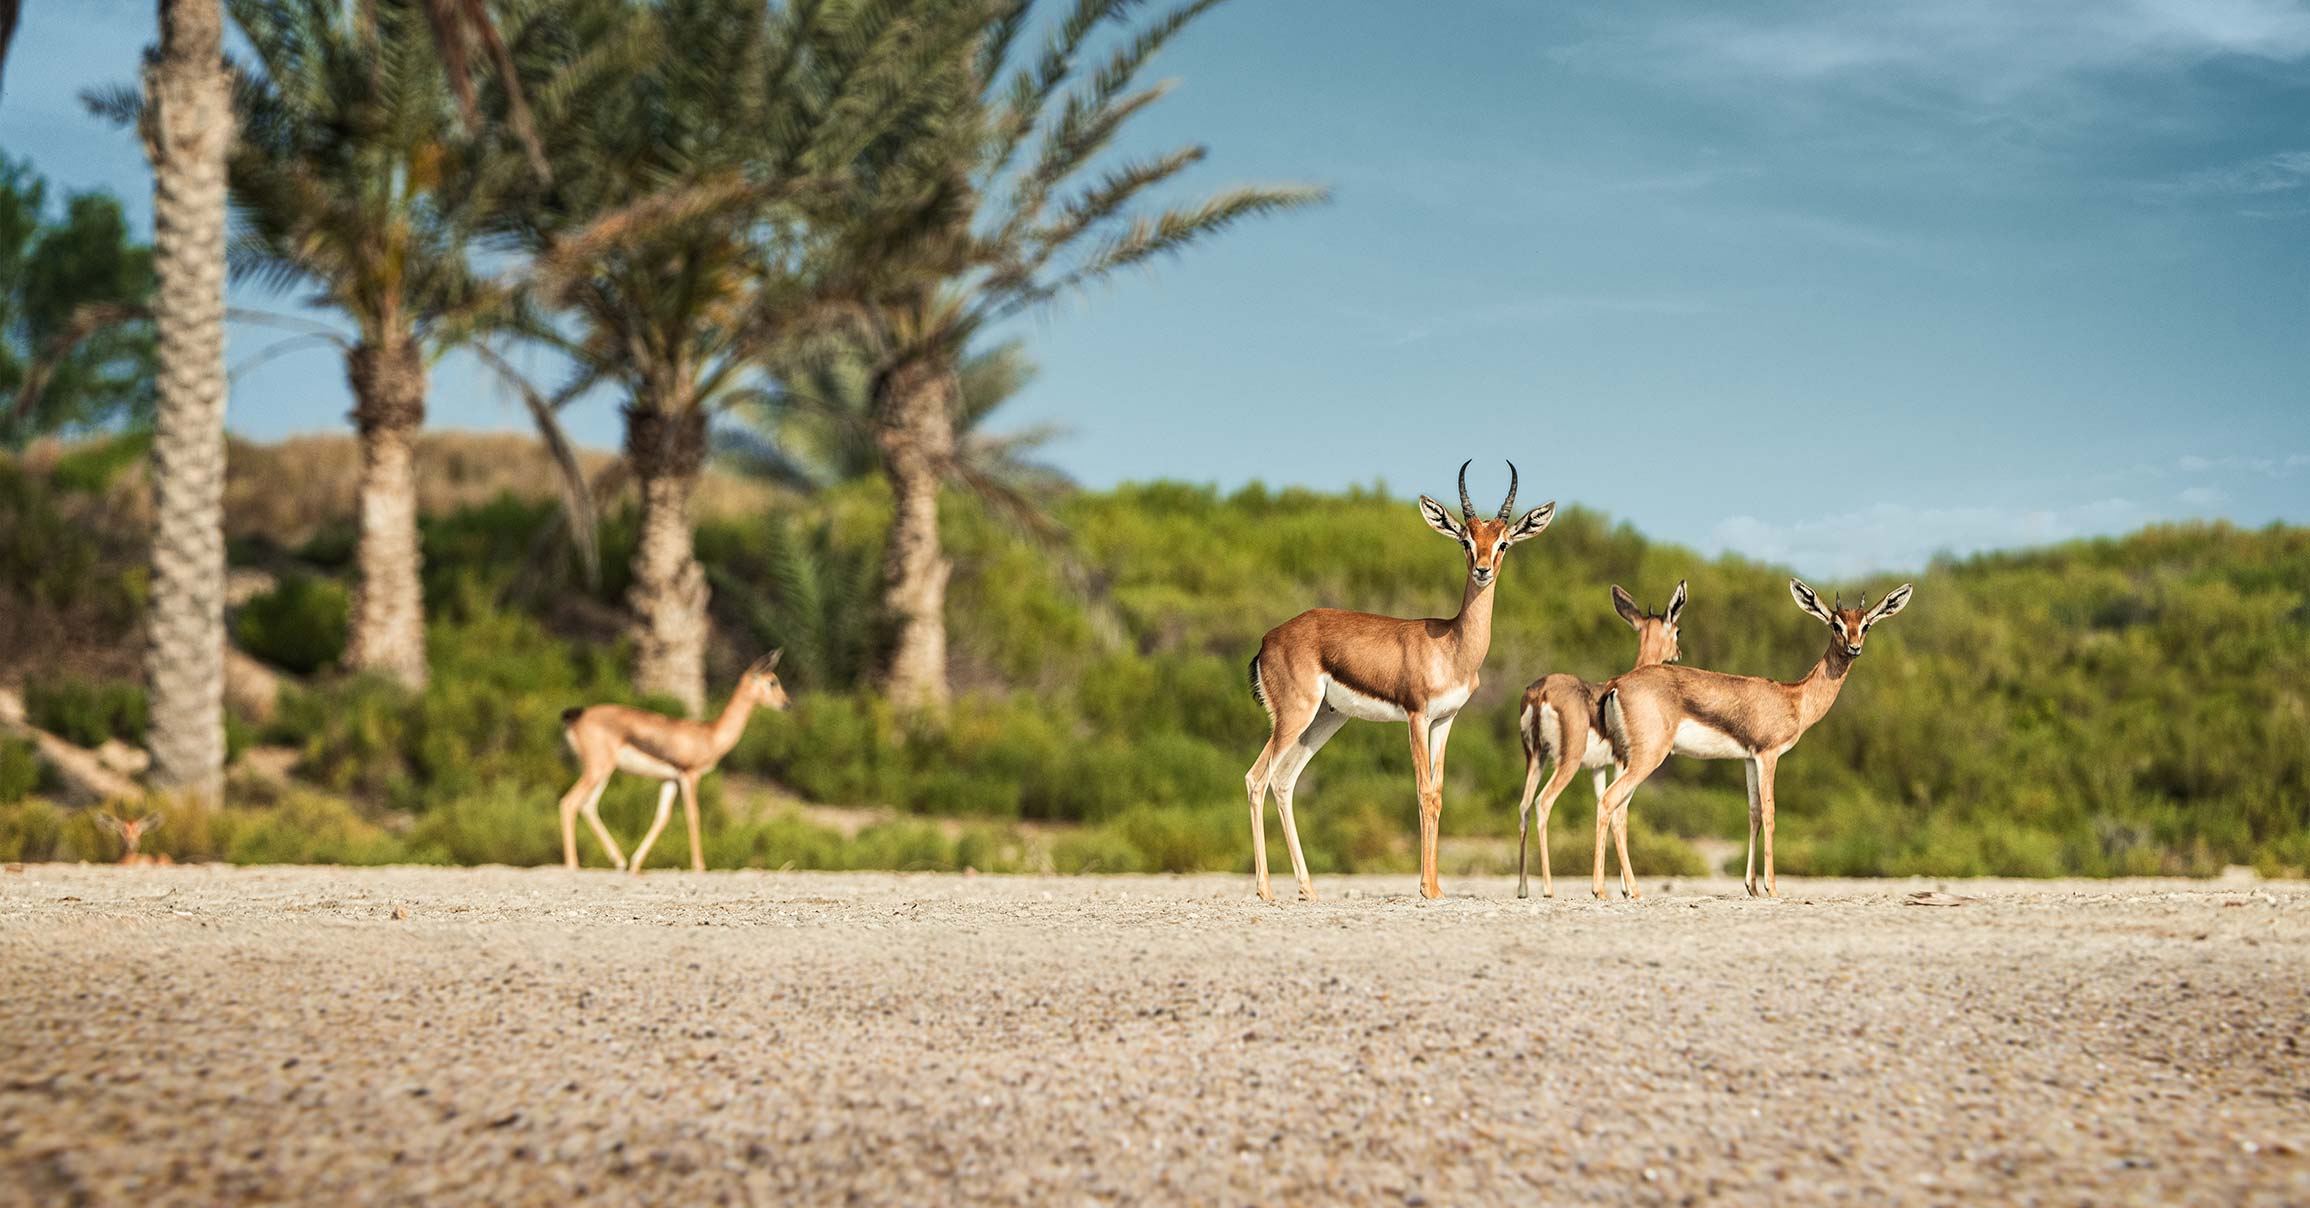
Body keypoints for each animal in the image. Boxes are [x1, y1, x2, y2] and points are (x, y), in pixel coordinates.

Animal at [557, 651, 790, 873]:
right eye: (772, 682)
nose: (786, 703)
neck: (710, 735)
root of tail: (578, 715)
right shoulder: (690, 775)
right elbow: (693, 815)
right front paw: (699, 865)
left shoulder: (670, 780)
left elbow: (662, 817)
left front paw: (636, 863)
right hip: (598, 770)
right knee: (569, 802)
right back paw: (573, 863)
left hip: (603, 772)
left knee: (588, 805)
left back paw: (620, 860)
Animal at [1246, 461, 1556, 902]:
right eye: (1465, 540)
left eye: (1503, 544)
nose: (1482, 570)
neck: (1451, 644)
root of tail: (1268, 639)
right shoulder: (1416, 716)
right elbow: (1423, 792)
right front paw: (1426, 887)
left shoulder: (1444, 721)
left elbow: (1438, 794)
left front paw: (1437, 887)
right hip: (1294, 716)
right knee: (1257, 779)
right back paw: (1266, 891)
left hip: (1325, 720)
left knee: (1284, 781)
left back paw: (1308, 889)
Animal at [1513, 580, 1686, 899]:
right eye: (1677, 630)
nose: (1678, 653)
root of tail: (1540, 691)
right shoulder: (1620, 763)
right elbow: (1621, 814)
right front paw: (1625, 889)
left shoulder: (1597, 768)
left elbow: (1602, 804)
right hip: (1565, 763)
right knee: (1544, 802)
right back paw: (1549, 888)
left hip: (1535, 759)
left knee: (1524, 806)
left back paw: (1522, 889)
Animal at [1591, 580, 1913, 900]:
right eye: (1836, 625)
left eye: (1865, 625)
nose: (1854, 648)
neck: (1794, 698)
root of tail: (1616, 684)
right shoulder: (1768, 755)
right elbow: (1770, 813)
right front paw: (1773, 888)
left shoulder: (1748, 758)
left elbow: (1754, 813)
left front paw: (1753, 887)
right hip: (1647, 758)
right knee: (1609, 802)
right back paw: (1602, 890)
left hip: (1630, 759)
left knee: (1619, 809)